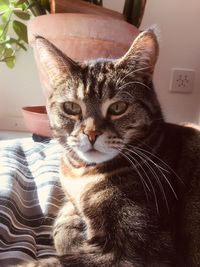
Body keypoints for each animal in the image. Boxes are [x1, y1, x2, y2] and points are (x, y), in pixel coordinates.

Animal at [15, 29, 198, 267]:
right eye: (71, 107)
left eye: (118, 107)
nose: (91, 134)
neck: (81, 173)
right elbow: (63, 219)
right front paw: (71, 233)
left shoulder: (136, 250)